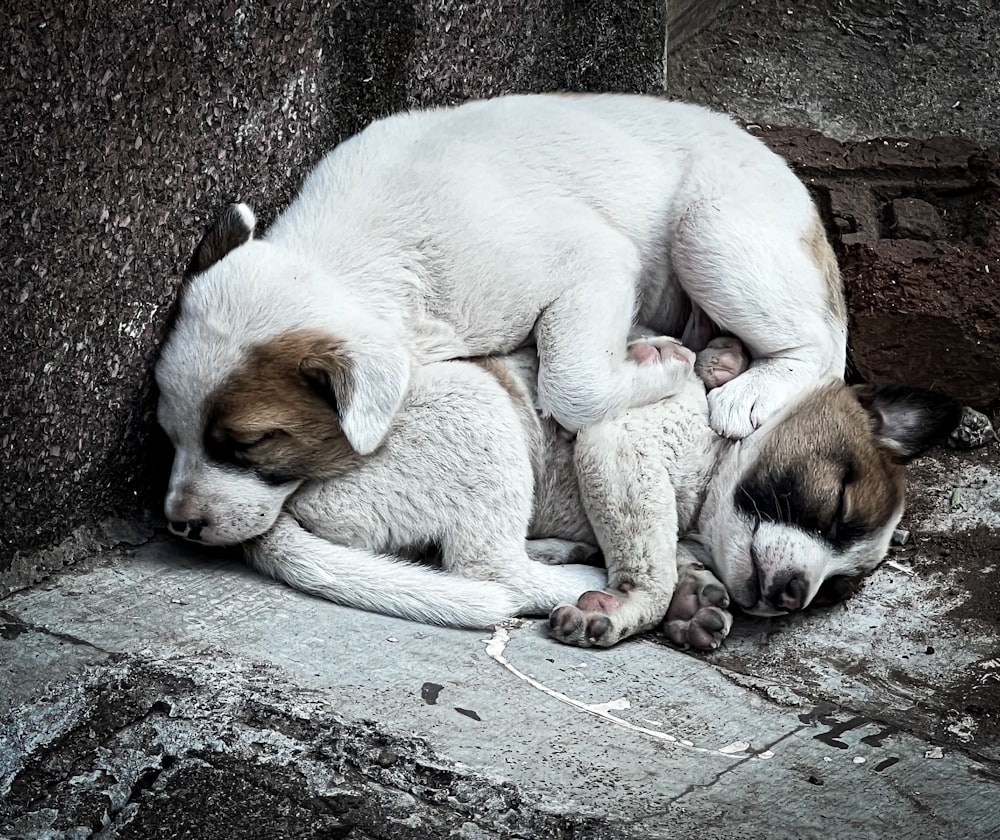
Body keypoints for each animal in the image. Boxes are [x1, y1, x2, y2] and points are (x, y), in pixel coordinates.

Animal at [160, 93, 848, 552]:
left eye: (248, 444)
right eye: (168, 435)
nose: (180, 524)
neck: (349, 256)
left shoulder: (590, 261)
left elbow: (572, 386)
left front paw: (660, 362)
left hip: (712, 231)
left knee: (817, 348)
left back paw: (748, 388)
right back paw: (721, 354)